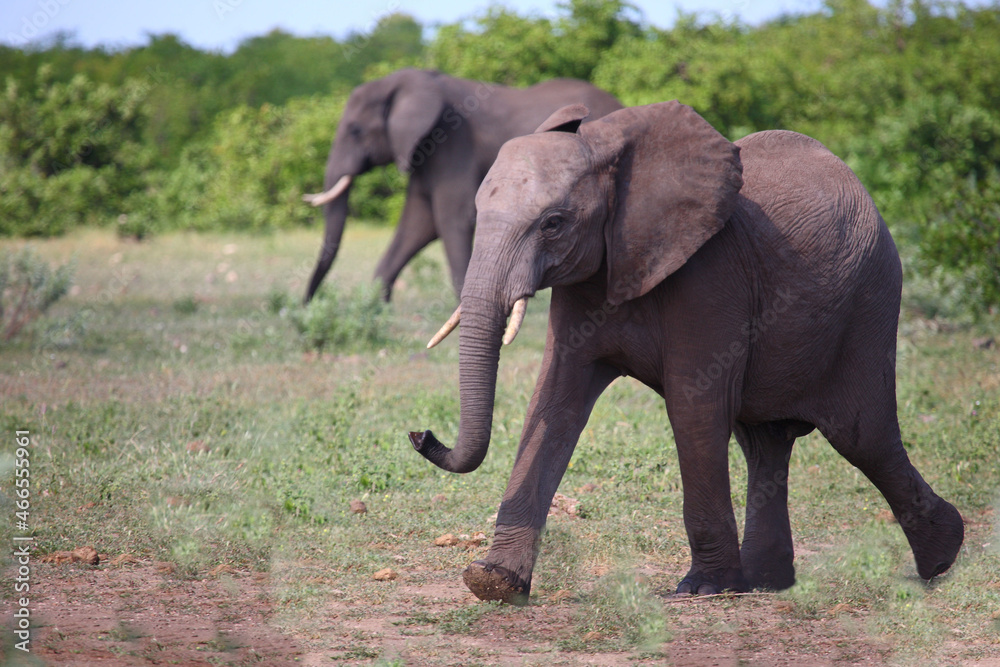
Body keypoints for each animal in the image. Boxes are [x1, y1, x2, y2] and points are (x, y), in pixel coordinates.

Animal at [301, 68, 622, 303]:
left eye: (355, 130)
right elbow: (419, 224)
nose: (308, 303)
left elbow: (452, 218)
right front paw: (375, 307)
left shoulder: (453, 142)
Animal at [408, 101, 965, 604]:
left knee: (863, 434)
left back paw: (941, 558)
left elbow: (694, 406)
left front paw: (702, 589)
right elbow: (553, 402)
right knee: (765, 442)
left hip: (870, 301)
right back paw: (765, 583)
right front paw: (493, 582)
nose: (420, 434)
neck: (611, 151)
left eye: (553, 223)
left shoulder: (709, 275)